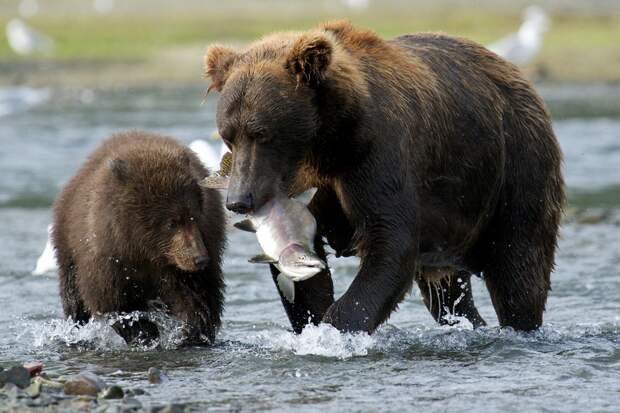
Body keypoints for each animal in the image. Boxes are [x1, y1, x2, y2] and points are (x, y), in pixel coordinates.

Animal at [51, 132, 225, 344]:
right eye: (171, 223)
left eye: (194, 217)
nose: (200, 259)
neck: (144, 249)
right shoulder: (108, 256)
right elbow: (115, 303)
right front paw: (145, 334)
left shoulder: (189, 256)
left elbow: (197, 298)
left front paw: (191, 333)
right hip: (67, 244)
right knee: (73, 294)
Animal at [206, 20, 564, 334]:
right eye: (229, 135)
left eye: (261, 133)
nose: (239, 200)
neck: (329, 141)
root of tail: (518, 75)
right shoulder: (313, 183)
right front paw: (313, 318)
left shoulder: (377, 155)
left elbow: (390, 243)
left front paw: (336, 327)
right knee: (448, 296)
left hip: (515, 165)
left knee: (519, 266)